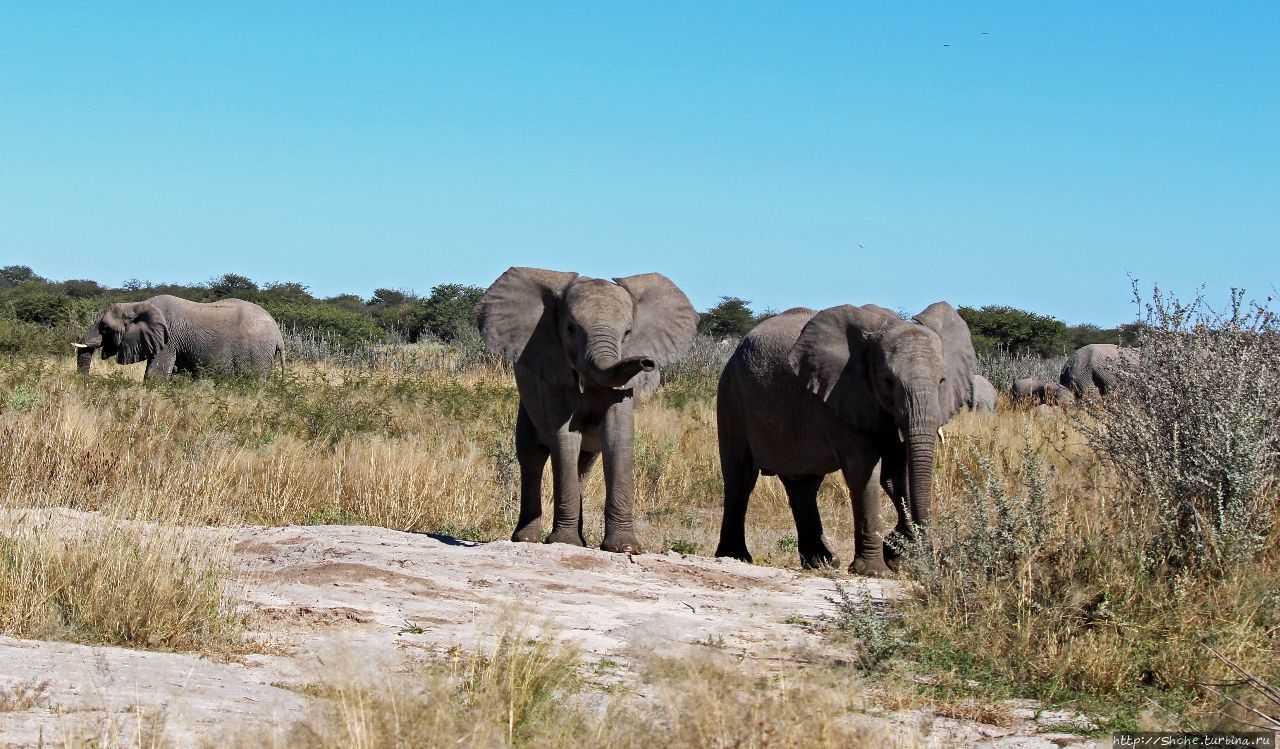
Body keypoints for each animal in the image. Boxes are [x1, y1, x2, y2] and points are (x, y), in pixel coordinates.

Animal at [74, 294, 288, 381]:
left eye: (104, 327)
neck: (137, 304)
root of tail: (278, 335)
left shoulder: (168, 341)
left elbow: (155, 375)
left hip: (255, 353)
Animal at [476, 266, 696, 553]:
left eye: (628, 332)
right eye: (570, 329)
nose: (646, 362)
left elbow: (617, 437)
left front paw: (624, 548)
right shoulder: (550, 370)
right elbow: (565, 436)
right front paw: (563, 542)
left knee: (584, 463)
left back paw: (579, 541)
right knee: (532, 454)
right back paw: (527, 539)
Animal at [716, 300, 972, 576]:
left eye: (942, 381)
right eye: (888, 381)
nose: (931, 563)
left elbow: (896, 471)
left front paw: (897, 554)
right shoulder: (840, 396)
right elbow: (865, 470)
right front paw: (874, 570)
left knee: (802, 484)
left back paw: (821, 562)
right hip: (731, 399)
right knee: (740, 478)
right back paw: (735, 557)